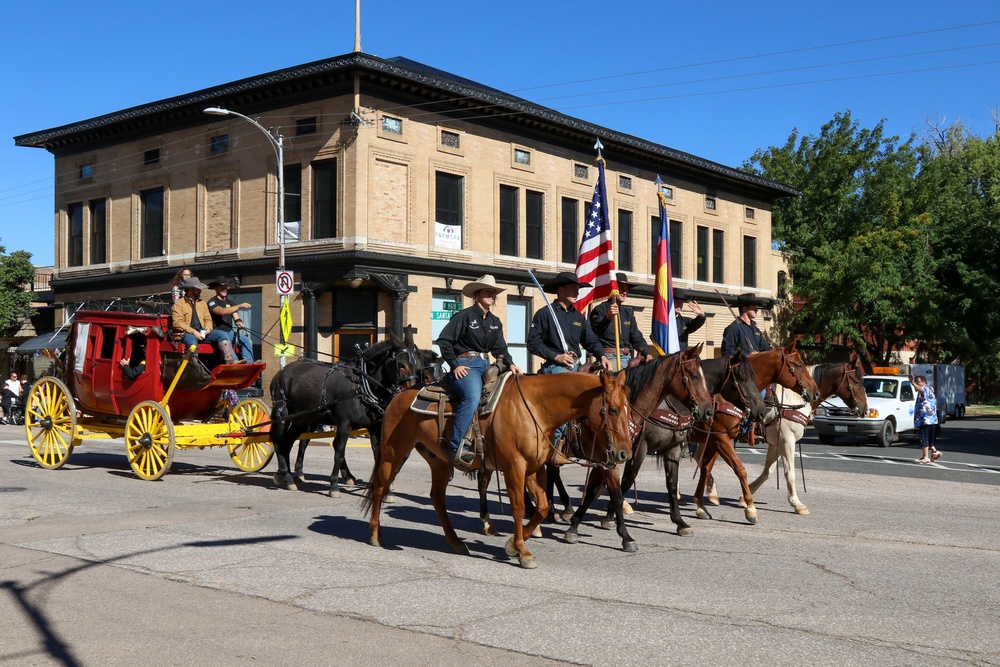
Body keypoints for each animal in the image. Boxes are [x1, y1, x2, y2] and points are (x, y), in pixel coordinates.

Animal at [268, 326, 440, 498]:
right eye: (401, 364)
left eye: (417, 366)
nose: (410, 393)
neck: (363, 385)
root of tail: (281, 372)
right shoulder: (344, 425)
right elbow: (339, 453)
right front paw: (334, 486)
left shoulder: (375, 428)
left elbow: (380, 455)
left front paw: (385, 490)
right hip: (283, 414)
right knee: (279, 442)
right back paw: (286, 475)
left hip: (302, 419)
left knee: (288, 443)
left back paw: (287, 476)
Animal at [366, 370, 632, 568]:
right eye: (613, 410)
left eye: (628, 408)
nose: (624, 453)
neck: (535, 408)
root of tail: (399, 395)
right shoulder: (515, 467)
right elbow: (519, 508)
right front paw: (523, 551)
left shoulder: (535, 469)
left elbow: (542, 507)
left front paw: (513, 544)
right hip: (392, 453)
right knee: (380, 488)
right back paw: (376, 535)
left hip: (438, 461)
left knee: (437, 498)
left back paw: (456, 542)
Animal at [588, 348, 768, 540]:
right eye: (741, 377)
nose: (761, 411)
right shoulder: (641, 448)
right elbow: (626, 481)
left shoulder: (679, 446)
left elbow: (677, 481)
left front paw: (683, 519)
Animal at [692, 344, 816, 528]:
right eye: (798, 365)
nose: (815, 391)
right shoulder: (786, 440)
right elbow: (744, 469)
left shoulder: (773, 442)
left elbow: (708, 468)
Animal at [748, 350, 872, 516]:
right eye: (857, 382)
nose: (865, 409)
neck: (795, 401)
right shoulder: (787, 440)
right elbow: (790, 473)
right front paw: (797, 504)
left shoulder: (776, 442)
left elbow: (768, 471)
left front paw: (747, 494)